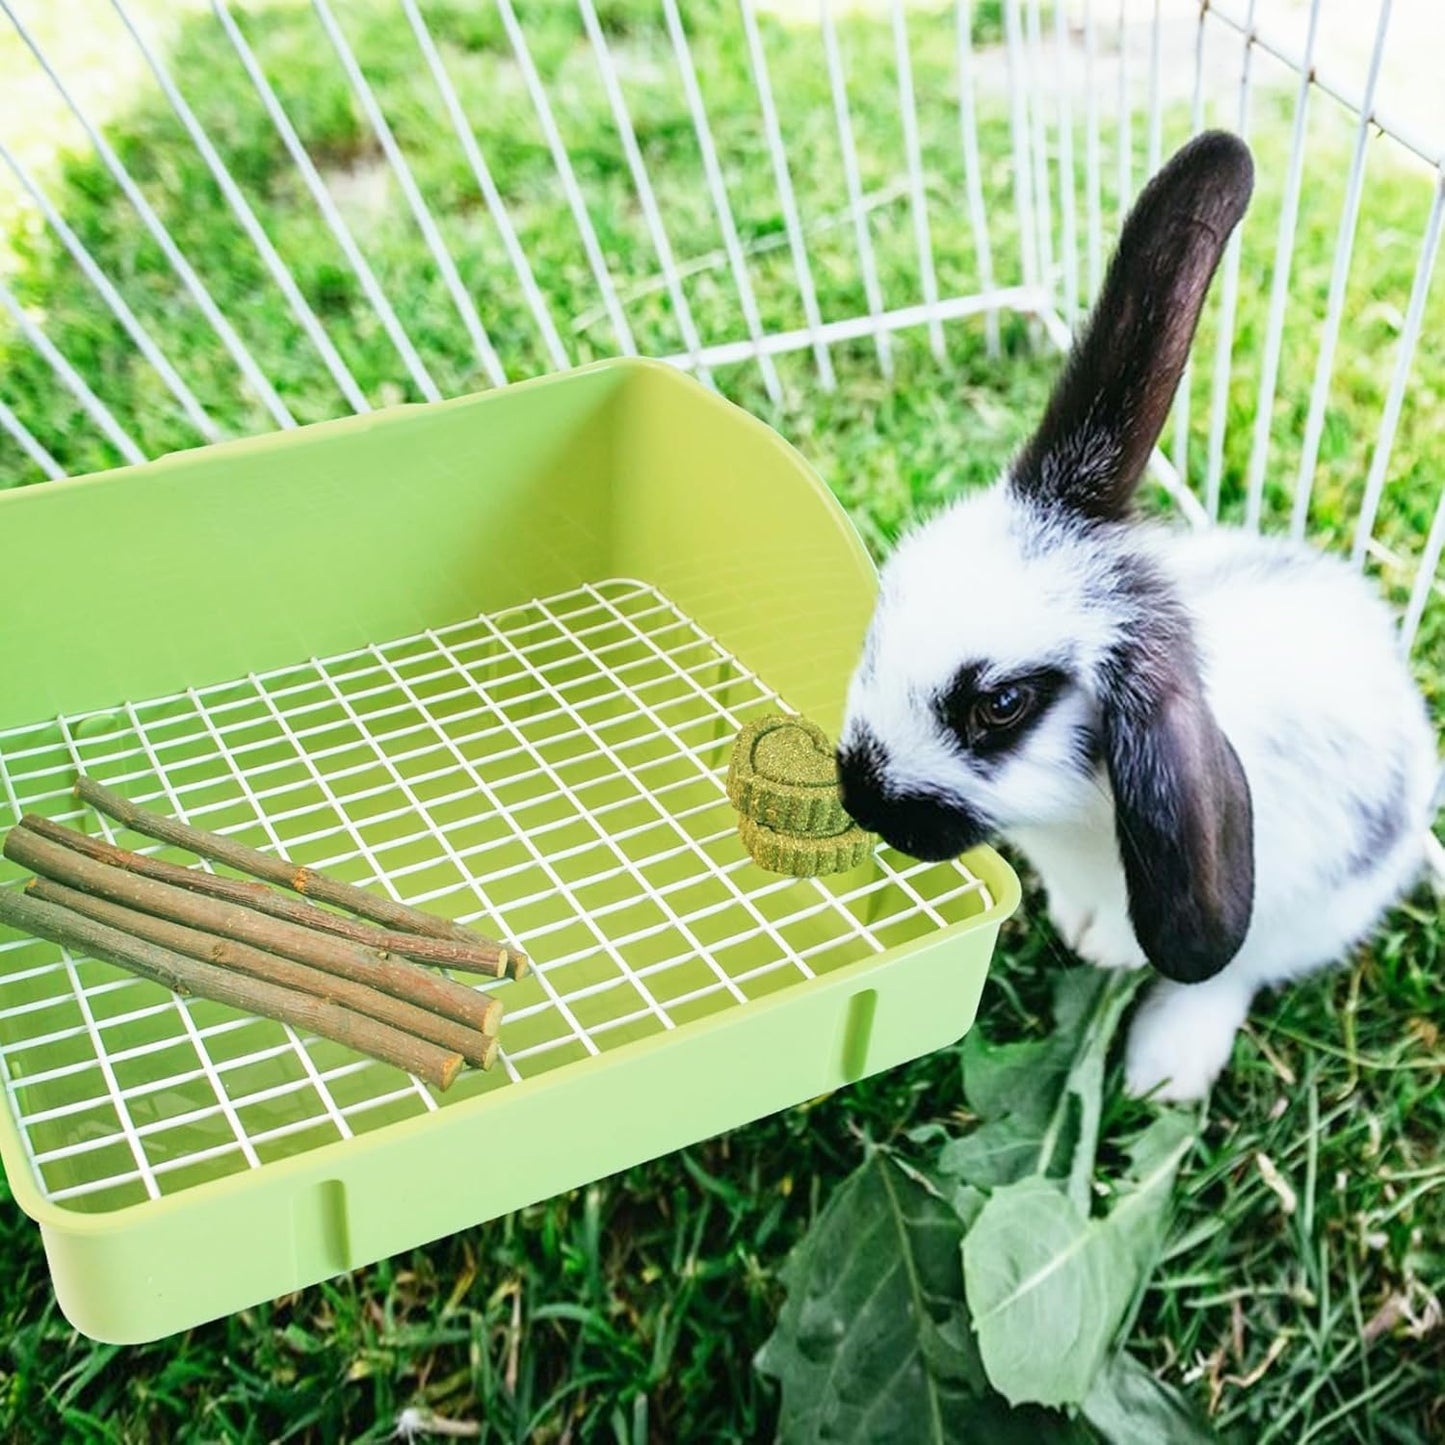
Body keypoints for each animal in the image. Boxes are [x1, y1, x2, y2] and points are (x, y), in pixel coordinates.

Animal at [835, 129, 1442, 1102]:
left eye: (1000, 705)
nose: (858, 795)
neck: (1078, 813)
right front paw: (1086, 935)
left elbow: (1217, 965)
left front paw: (1144, 1030)